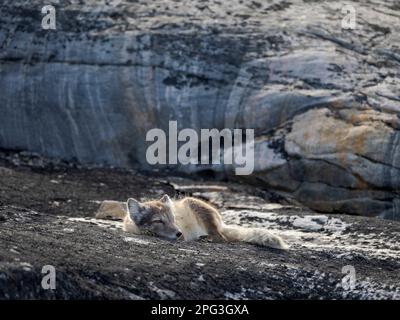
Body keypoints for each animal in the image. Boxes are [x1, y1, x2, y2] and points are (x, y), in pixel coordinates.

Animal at [94, 195, 288, 250]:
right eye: (159, 221)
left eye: (172, 219)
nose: (179, 233)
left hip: (196, 206)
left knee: (222, 238)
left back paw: (206, 239)